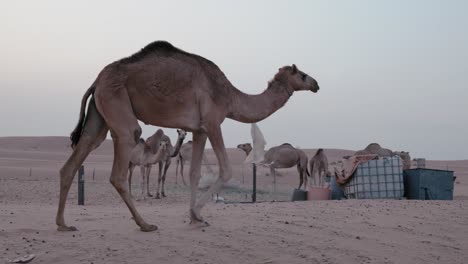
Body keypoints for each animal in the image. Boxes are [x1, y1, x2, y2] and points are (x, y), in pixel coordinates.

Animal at [54, 39, 318, 231]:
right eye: (302, 74)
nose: (315, 84)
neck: (230, 96)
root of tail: (96, 81)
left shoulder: (198, 129)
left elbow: (194, 173)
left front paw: (194, 218)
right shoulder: (213, 122)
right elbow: (225, 170)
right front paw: (197, 213)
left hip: (98, 114)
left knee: (77, 155)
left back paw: (63, 224)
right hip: (116, 102)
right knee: (121, 163)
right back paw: (145, 224)